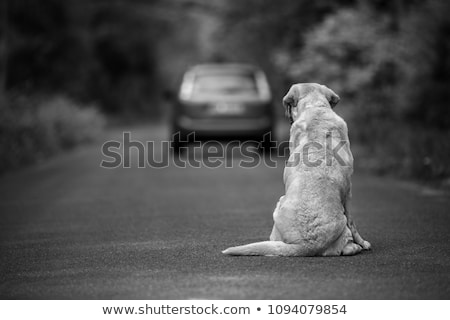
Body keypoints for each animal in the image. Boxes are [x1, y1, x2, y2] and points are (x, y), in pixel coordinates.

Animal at [223, 84, 370, 256]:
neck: (316, 107)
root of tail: (307, 245)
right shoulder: (348, 192)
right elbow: (352, 222)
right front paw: (362, 243)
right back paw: (354, 246)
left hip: (279, 203)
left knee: (274, 241)